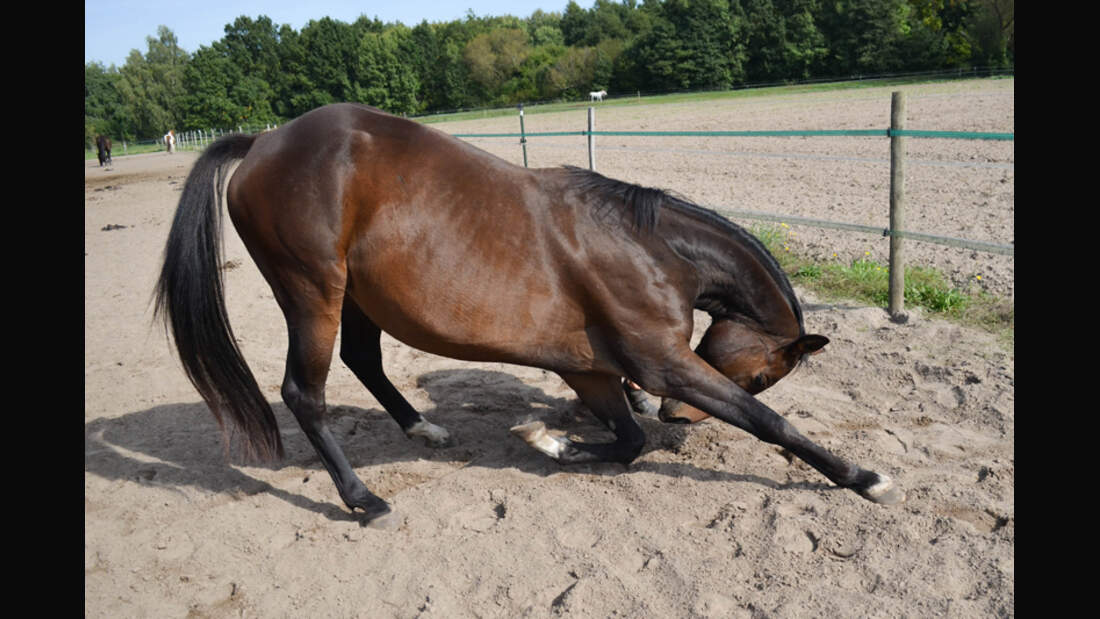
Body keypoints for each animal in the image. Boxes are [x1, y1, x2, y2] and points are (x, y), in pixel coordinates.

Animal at [157, 101, 910, 523]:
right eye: (761, 375)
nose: (677, 419)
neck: (649, 246)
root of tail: (263, 142)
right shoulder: (664, 365)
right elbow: (767, 423)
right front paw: (864, 478)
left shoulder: (591, 369)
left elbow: (627, 443)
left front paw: (554, 441)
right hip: (314, 291)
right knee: (302, 393)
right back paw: (363, 500)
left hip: (359, 294)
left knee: (363, 359)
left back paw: (423, 428)